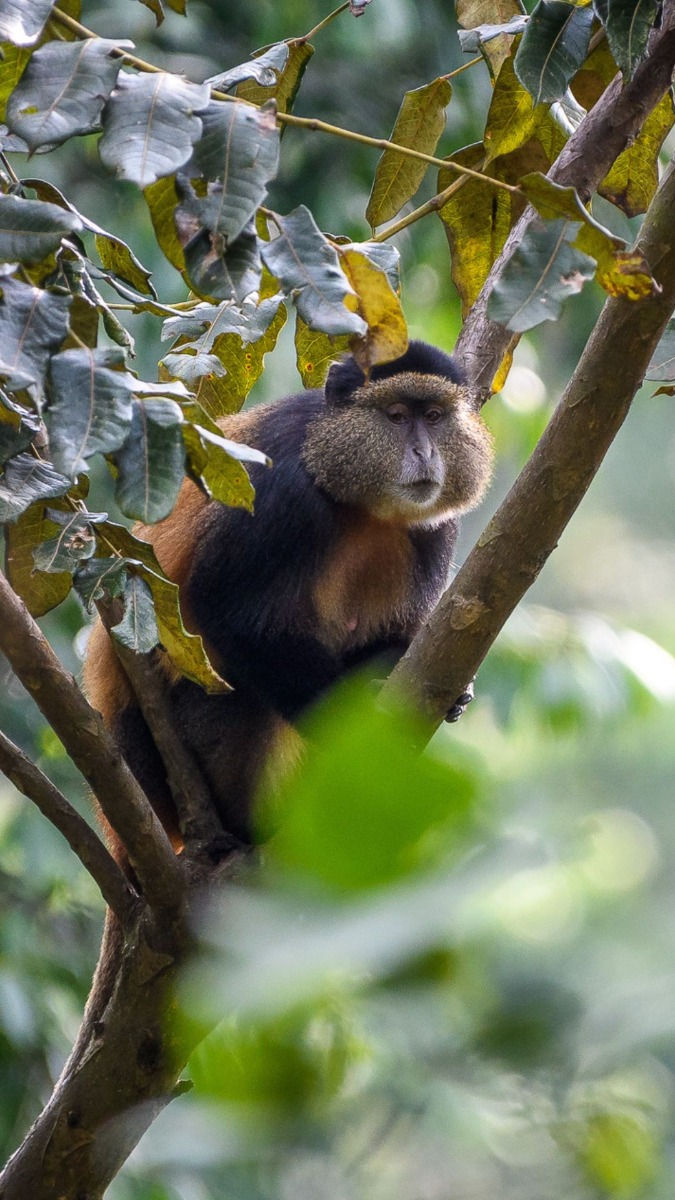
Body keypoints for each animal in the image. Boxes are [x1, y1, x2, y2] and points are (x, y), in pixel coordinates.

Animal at [84, 340, 493, 854]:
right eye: (397, 417)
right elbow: (224, 611)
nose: (424, 451)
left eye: (435, 416)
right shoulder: (281, 493)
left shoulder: (435, 526)